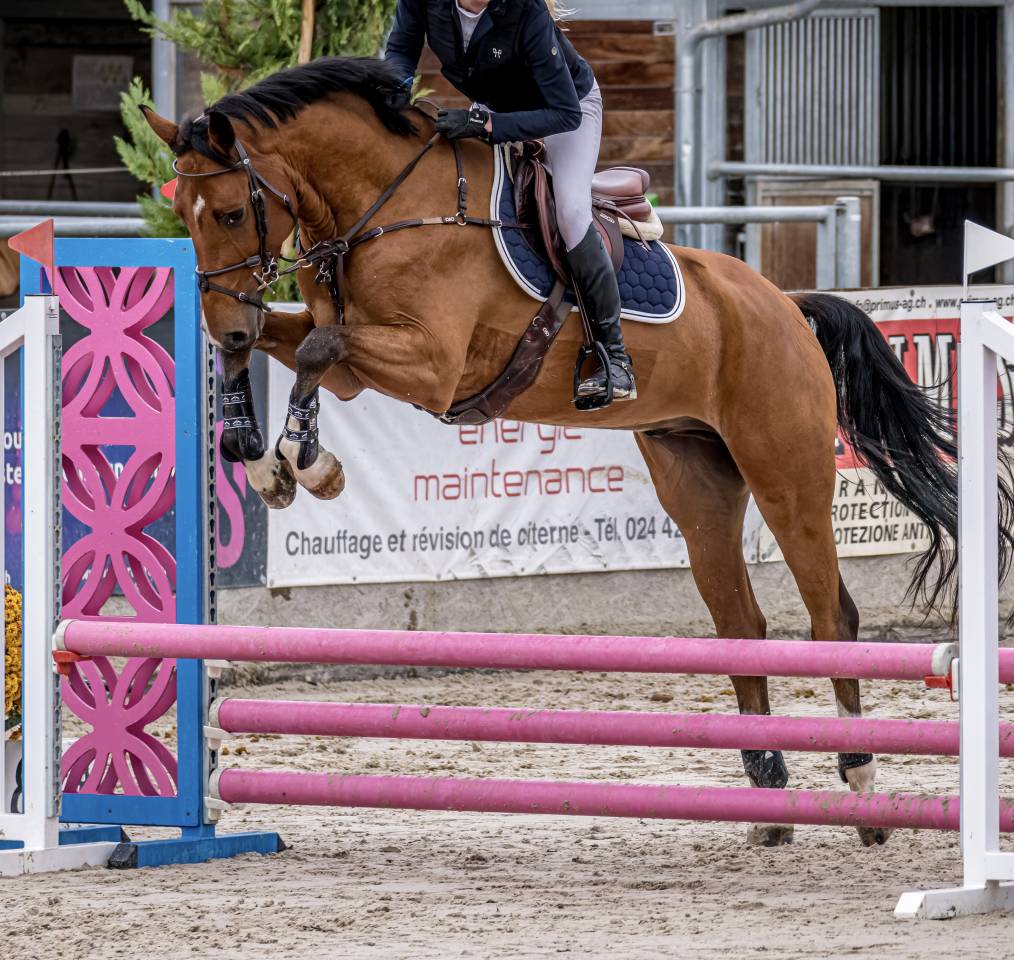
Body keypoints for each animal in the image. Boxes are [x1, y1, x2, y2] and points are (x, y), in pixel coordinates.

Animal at [142, 55, 1013, 848]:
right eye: (184, 212)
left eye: (229, 212)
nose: (224, 322)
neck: (387, 206)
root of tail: (785, 306)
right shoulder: (357, 363)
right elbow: (294, 347)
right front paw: (260, 457)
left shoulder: (430, 364)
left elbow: (318, 350)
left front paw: (306, 464)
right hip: (698, 484)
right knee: (742, 621)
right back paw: (769, 794)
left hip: (785, 477)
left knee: (832, 614)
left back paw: (860, 785)